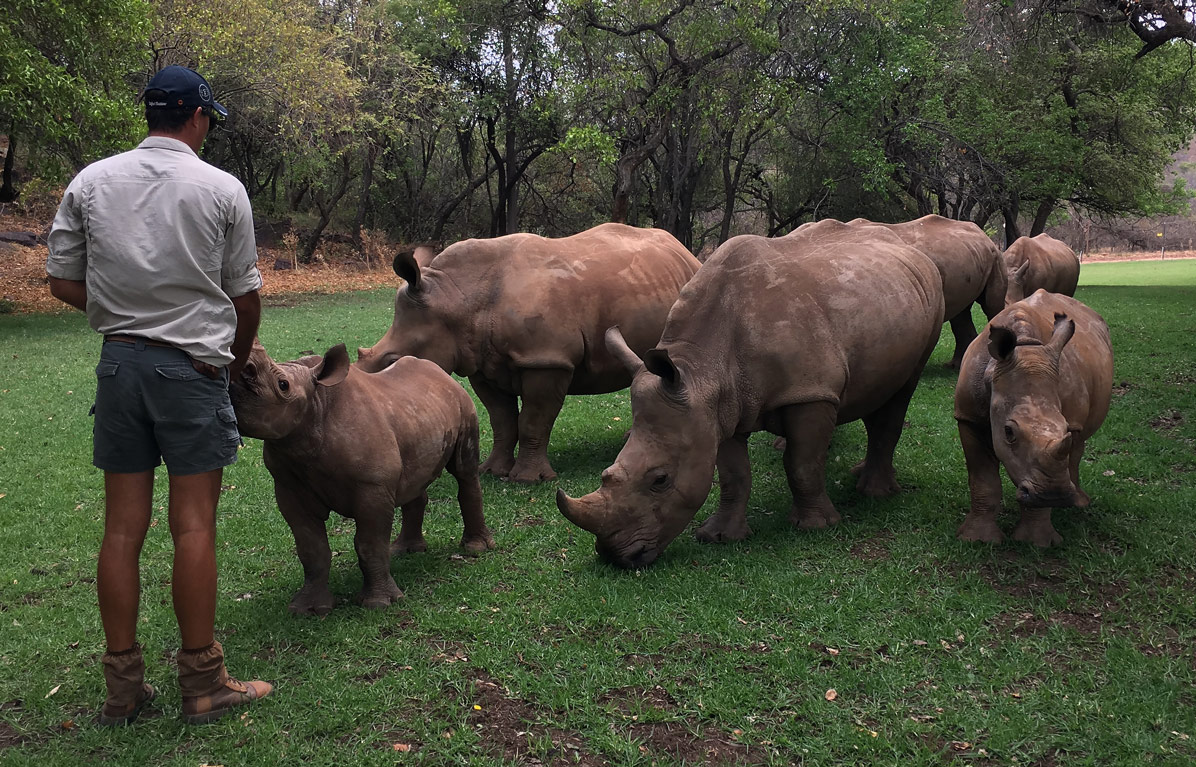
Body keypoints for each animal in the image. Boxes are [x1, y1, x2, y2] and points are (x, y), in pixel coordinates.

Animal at [229, 341, 494, 615]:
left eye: (283, 385)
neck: (316, 408)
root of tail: (443, 374)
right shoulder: (288, 486)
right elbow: (311, 548)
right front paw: (307, 608)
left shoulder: (372, 486)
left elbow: (369, 544)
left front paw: (378, 604)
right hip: (419, 414)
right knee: (414, 477)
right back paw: (404, 550)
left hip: (463, 403)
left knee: (464, 472)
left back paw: (475, 548)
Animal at [357, 223, 702, 484]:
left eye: (392, 362)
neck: (455, 297)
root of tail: (685, 252)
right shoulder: (481, 363)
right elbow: (502, 419)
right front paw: (491, 471)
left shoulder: (546, 359)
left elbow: (534, 420)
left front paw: (527, 480)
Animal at [556, 221, 945, 568]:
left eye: (660, 480)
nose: (615, 557)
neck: (702, 368)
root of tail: (908, 248)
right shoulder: (718, 407)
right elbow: (733, 474)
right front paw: (719, 536)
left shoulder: (808, 392)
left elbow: (802, 465)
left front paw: (815, 526)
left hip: (931, 298)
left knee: (902, 390)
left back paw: (874, 493)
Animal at [954, 290, 1113, 546]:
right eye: (1008, 432)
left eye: (1065, 427)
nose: (1054, 494)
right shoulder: (968, 417)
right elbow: (983, 479)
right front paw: (978, 540)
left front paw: (1036, 543)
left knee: (1078, 447)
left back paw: (1078, 503)